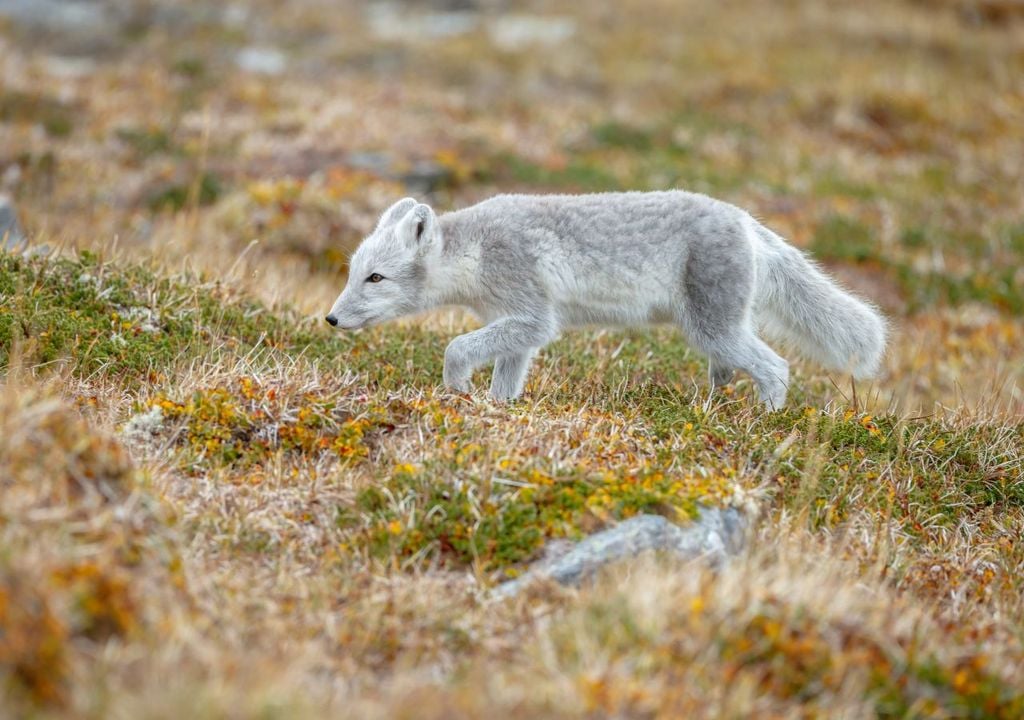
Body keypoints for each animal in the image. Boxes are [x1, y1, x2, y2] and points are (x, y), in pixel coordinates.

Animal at [323, 191, 884, 407]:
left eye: (375, 278)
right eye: (352, 274)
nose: (330, 319)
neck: (475, 251)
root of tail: (747, 220)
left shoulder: (534, 317)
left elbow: (456, 347)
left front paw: (456, 390)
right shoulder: (518, 328)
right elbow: (507, 376)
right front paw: (498, 409)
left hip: (713, 327)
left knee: (776, 367)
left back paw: (765, 420)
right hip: (715, 333)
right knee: (729, 369)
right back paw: (710, 408)